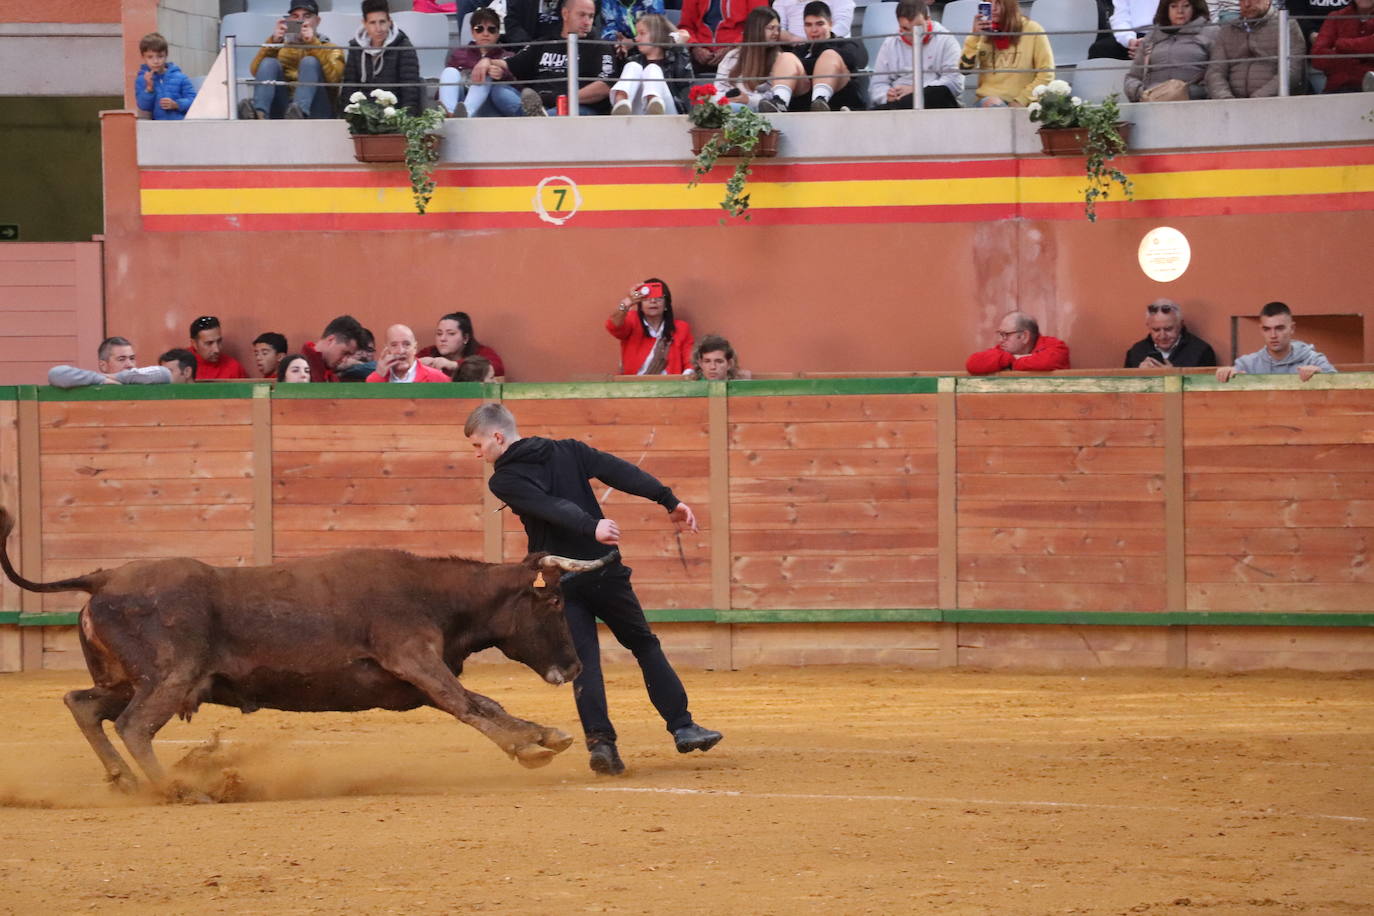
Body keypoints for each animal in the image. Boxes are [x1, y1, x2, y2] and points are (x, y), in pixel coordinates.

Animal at [0, 513, 612, 796]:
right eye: (555, 600)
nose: (575, 667)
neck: (432, 592)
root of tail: (102, 578)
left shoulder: (413, 680)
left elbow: (480, 701)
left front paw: (545, 735)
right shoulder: (414, 659)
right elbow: (469, 703)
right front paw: (530, 746)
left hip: (129, 680)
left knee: (84, 704)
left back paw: (125, 782)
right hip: (170, 677)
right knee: (133, 725)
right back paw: (177, 790)